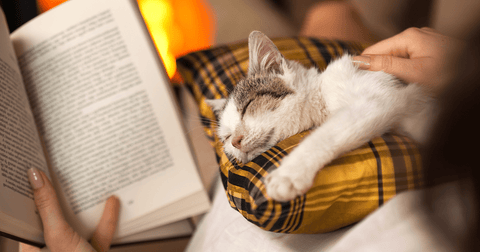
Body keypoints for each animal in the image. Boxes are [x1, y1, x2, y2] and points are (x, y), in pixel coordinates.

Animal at [206, 31, 436, 201]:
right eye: (226, 137)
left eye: (247, 106)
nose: (235, 141)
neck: (322, 95)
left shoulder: (376, 99)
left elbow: (324, 135)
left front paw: (288, 174)